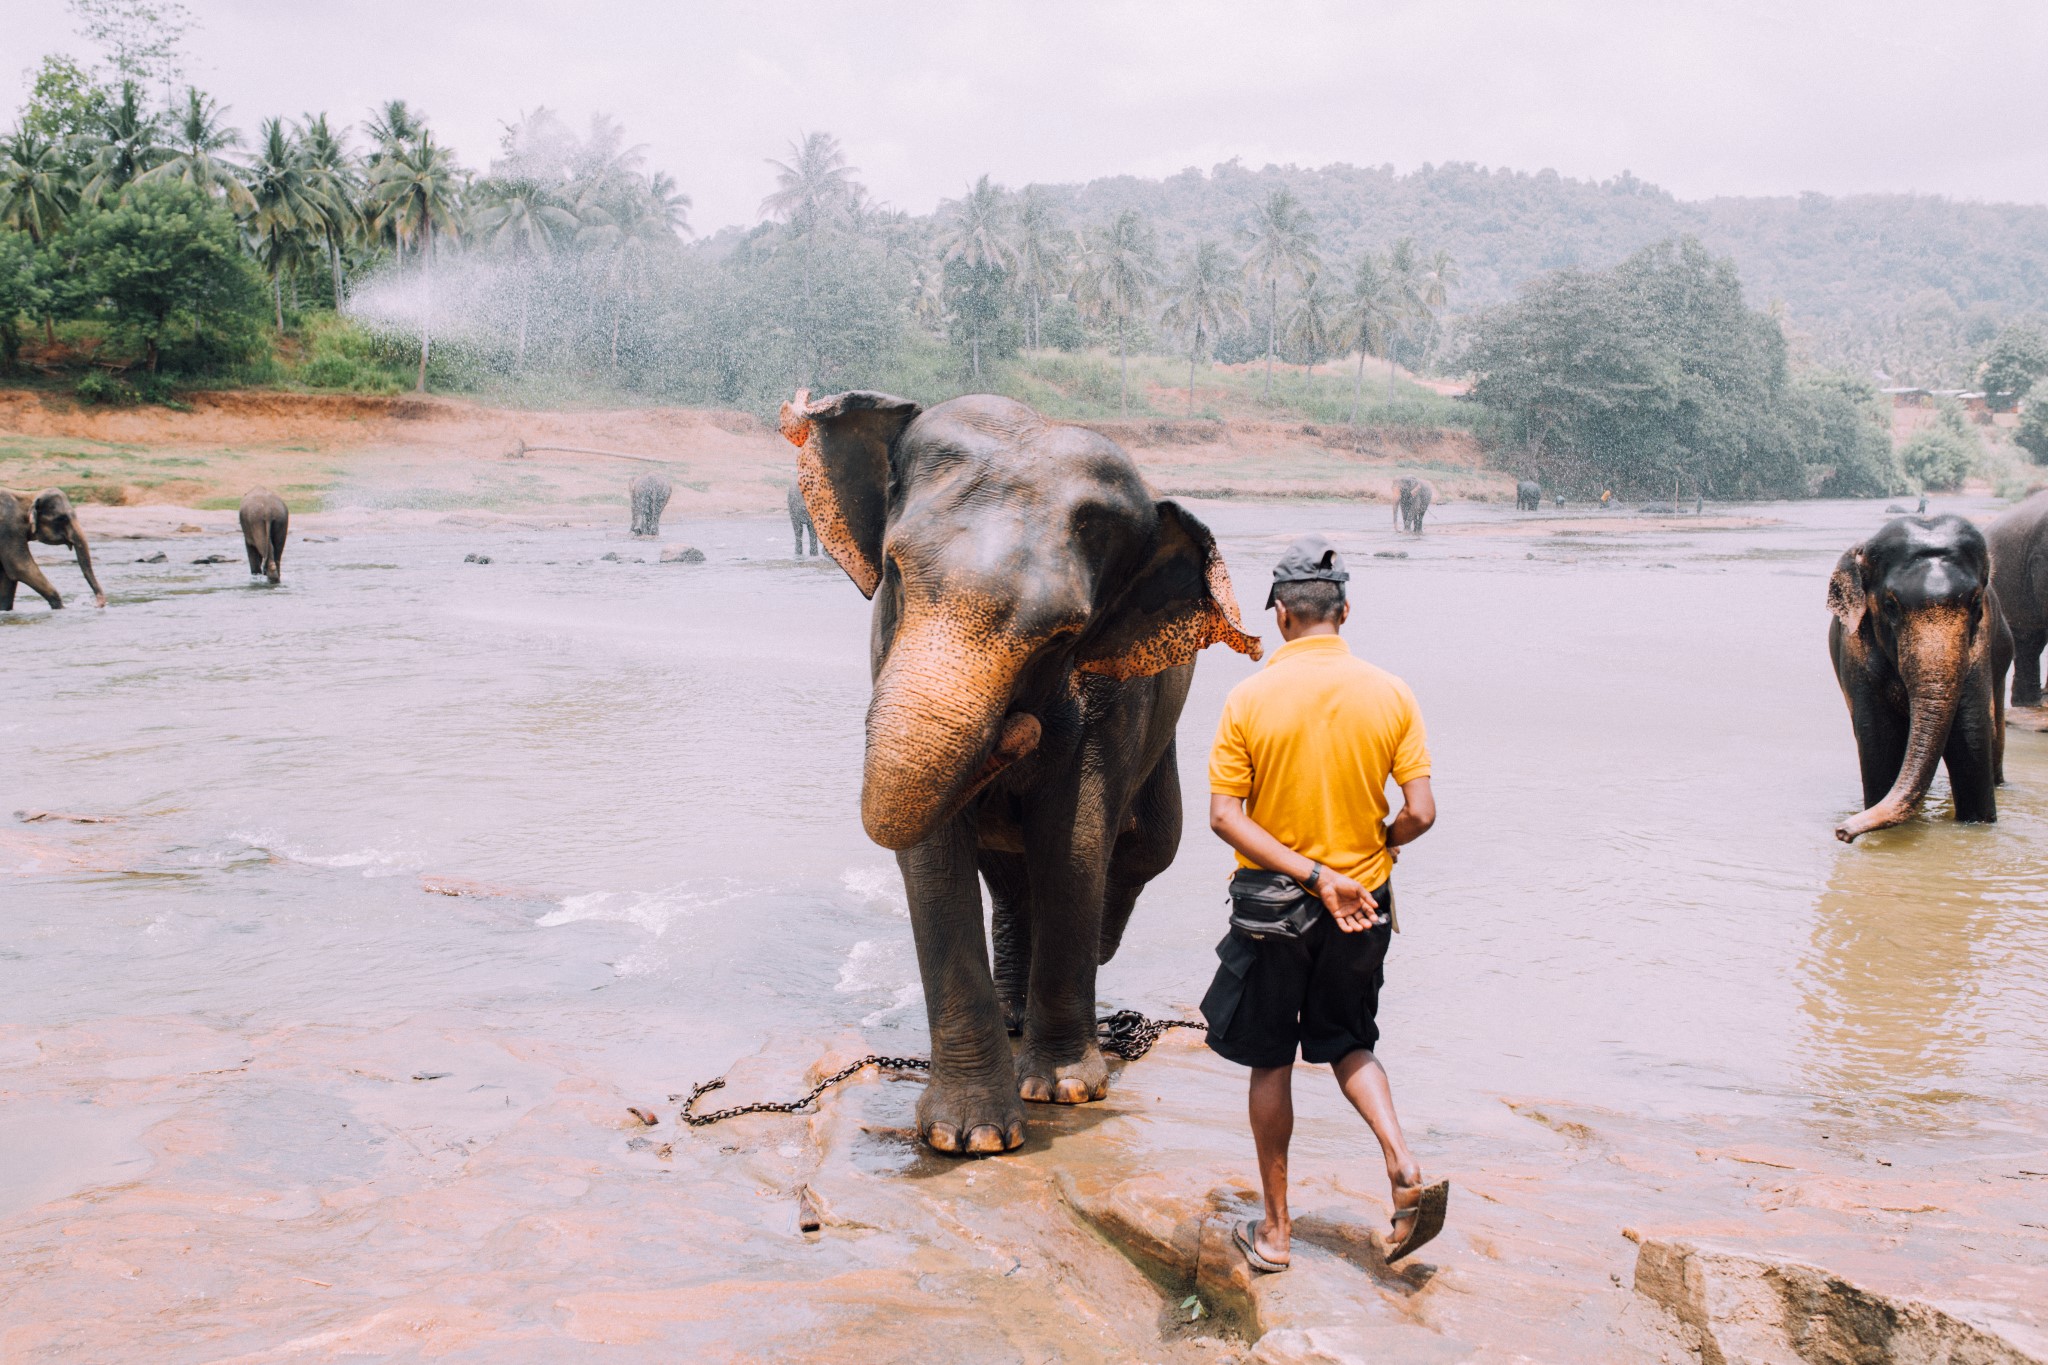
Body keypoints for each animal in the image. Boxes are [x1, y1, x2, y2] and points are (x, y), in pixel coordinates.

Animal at [782, 388, 1261, 1162]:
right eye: (896, 572)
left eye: (1063, 635)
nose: (1019, 727)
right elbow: (934, 855)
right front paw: (968, 1136)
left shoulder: (1109, 695)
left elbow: (1075, 841)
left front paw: (1063, 1090)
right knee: (1008, 877)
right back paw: (1015, 1009)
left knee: (1143, 850)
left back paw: (1091, 962)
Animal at [1826, 517, 2015, 839]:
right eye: (1890, 606)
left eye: (1977, 603)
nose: (1842, 832)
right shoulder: (1855, 652)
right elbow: (1880, 737)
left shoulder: (1981, 649)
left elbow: (1971, 734)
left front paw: (1978, 824)